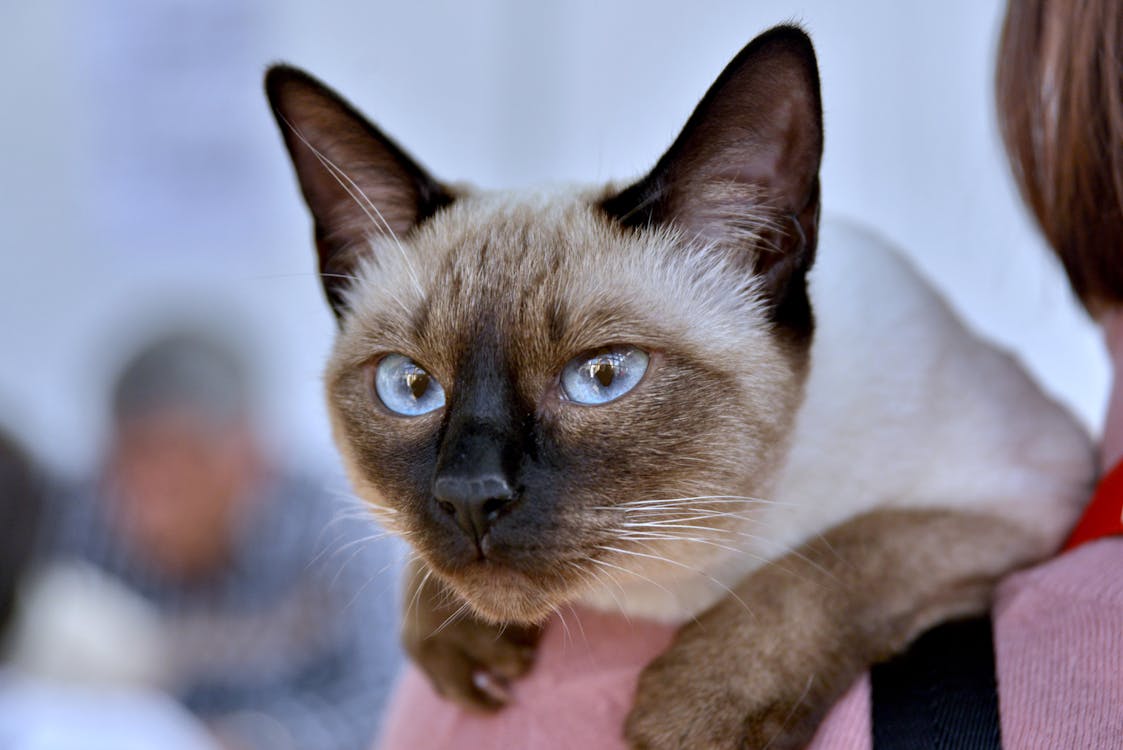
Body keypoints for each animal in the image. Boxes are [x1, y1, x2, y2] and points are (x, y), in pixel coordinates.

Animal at [265, 24, 1096, 750]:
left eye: (602, 377)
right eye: (410, 387)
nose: (469, 495)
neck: (673, 579)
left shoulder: (1031, 491)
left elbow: (845, 555)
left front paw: (696, 712)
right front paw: (460, 640)